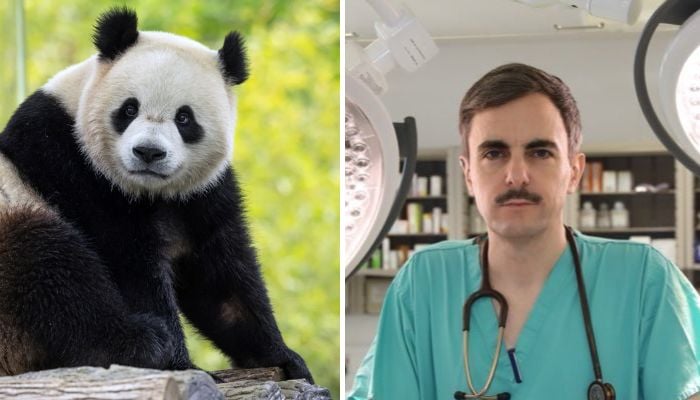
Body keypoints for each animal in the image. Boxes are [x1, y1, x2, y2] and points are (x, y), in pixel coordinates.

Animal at [0, 7, 312, 383]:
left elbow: (221, 281)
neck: (149, 192)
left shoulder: (200, 196)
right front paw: (180, 364)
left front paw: (282, 356)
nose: (148, 152)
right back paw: (140, 343)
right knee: (50, 266)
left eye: (184, 118)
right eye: (129, 109)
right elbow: (129, 265)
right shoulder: (70, 164)